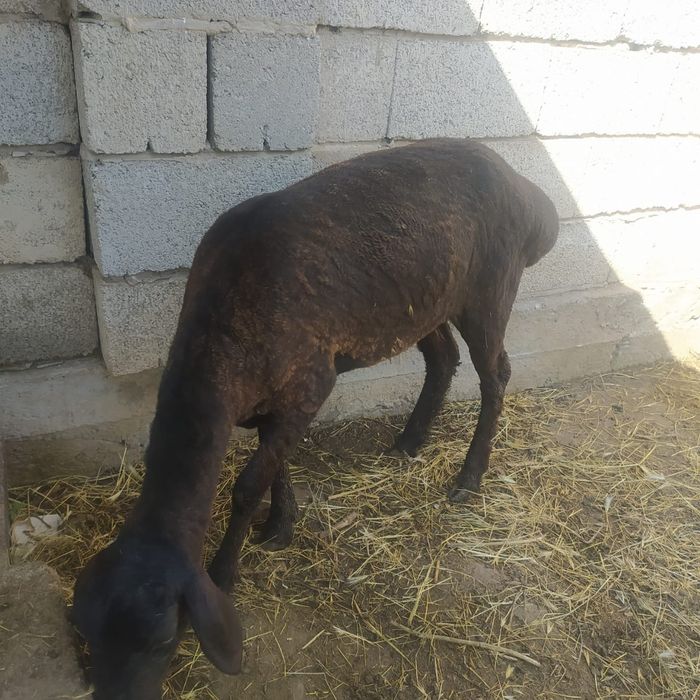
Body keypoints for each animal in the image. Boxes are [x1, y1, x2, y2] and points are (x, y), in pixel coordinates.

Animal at [71, 138, 558, 699]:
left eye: (163, 641)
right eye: (91, 637)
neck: (220, 338)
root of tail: (527, 191)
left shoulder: (309, 383)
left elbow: (249, 482)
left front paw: (227, 569)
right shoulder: (276, 398)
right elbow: (273, 462)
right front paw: (280, 525)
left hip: (489, 289)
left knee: (495, 374)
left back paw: (469, 476)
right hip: (426, 299)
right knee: (443, 358)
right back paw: (410, 440)